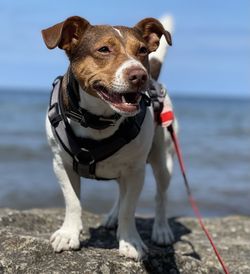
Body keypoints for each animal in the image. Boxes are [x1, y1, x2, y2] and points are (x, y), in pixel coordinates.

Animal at [41, 14, 176, 260]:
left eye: (142, 50)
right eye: (104, 49)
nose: (139, 75)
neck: (98, 119)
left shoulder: (136, 170)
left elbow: (129, 209)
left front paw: (130, 241)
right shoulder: (61, 164)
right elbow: (73, 202)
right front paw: (69, 234)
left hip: (164, 160)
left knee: (160, 196)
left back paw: (161, 230)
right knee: (121, 192)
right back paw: (113, 217)